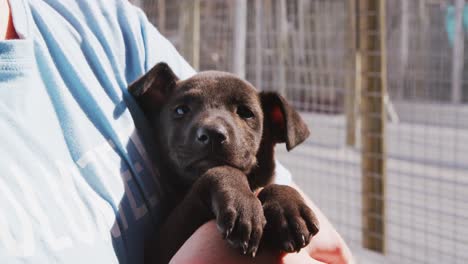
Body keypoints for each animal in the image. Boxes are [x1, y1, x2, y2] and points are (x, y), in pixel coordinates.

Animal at [129, 63, 318, 262]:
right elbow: (222, 170)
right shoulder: (159, 247)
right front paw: (243, 204)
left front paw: (289, 209)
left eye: (246, 113)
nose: (213, 134)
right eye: (181, 110)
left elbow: (276, 185)